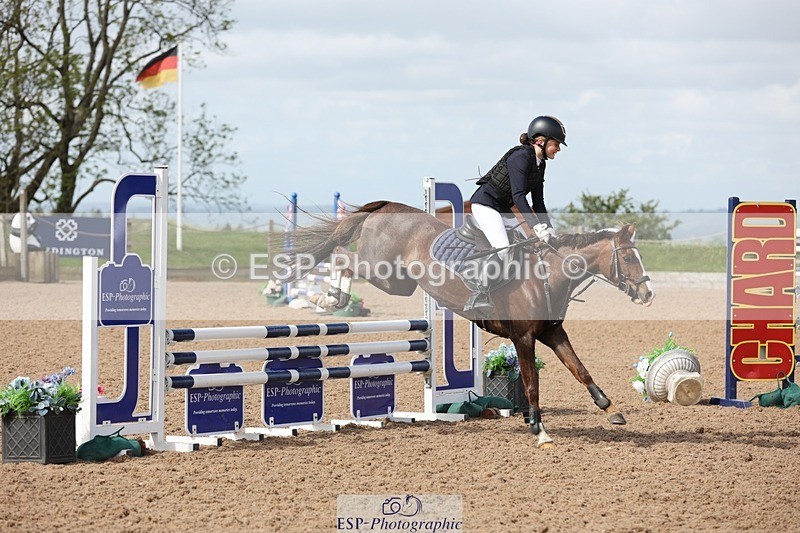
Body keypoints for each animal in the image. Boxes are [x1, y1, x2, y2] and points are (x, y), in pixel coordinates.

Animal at [288, 201, 655, 448]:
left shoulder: (552, 332)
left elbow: (580, 370)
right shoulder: (524, 337)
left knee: (344, 256)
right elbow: (532, 384)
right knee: (341, 255)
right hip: (382, 270)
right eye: (627, 257)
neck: (547, 275)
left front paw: (611, 409)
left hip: (399, 282)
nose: (647, 294)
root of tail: (388, 205)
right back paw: (329, 298)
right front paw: (539, 431)